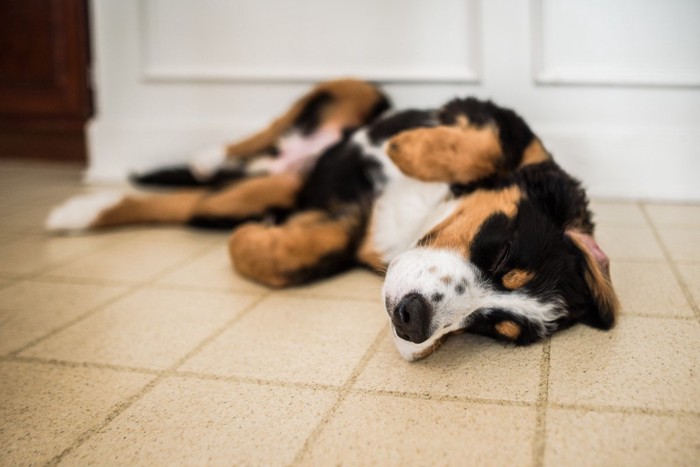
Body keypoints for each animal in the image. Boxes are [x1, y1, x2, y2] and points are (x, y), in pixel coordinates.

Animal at [46, 78, 620, 362]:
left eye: (491, 327)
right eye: (500, 253)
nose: (411, 321)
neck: (420, 213)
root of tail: (286, 166)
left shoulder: (345, 226)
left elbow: (284, 257)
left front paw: (259, 238)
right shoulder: (498, 120)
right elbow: (489, 145)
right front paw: (406, 148)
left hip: (256, 193)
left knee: (190, 204)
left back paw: (80, 211)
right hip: (361, 92)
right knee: (260, 136)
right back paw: (206, 156)